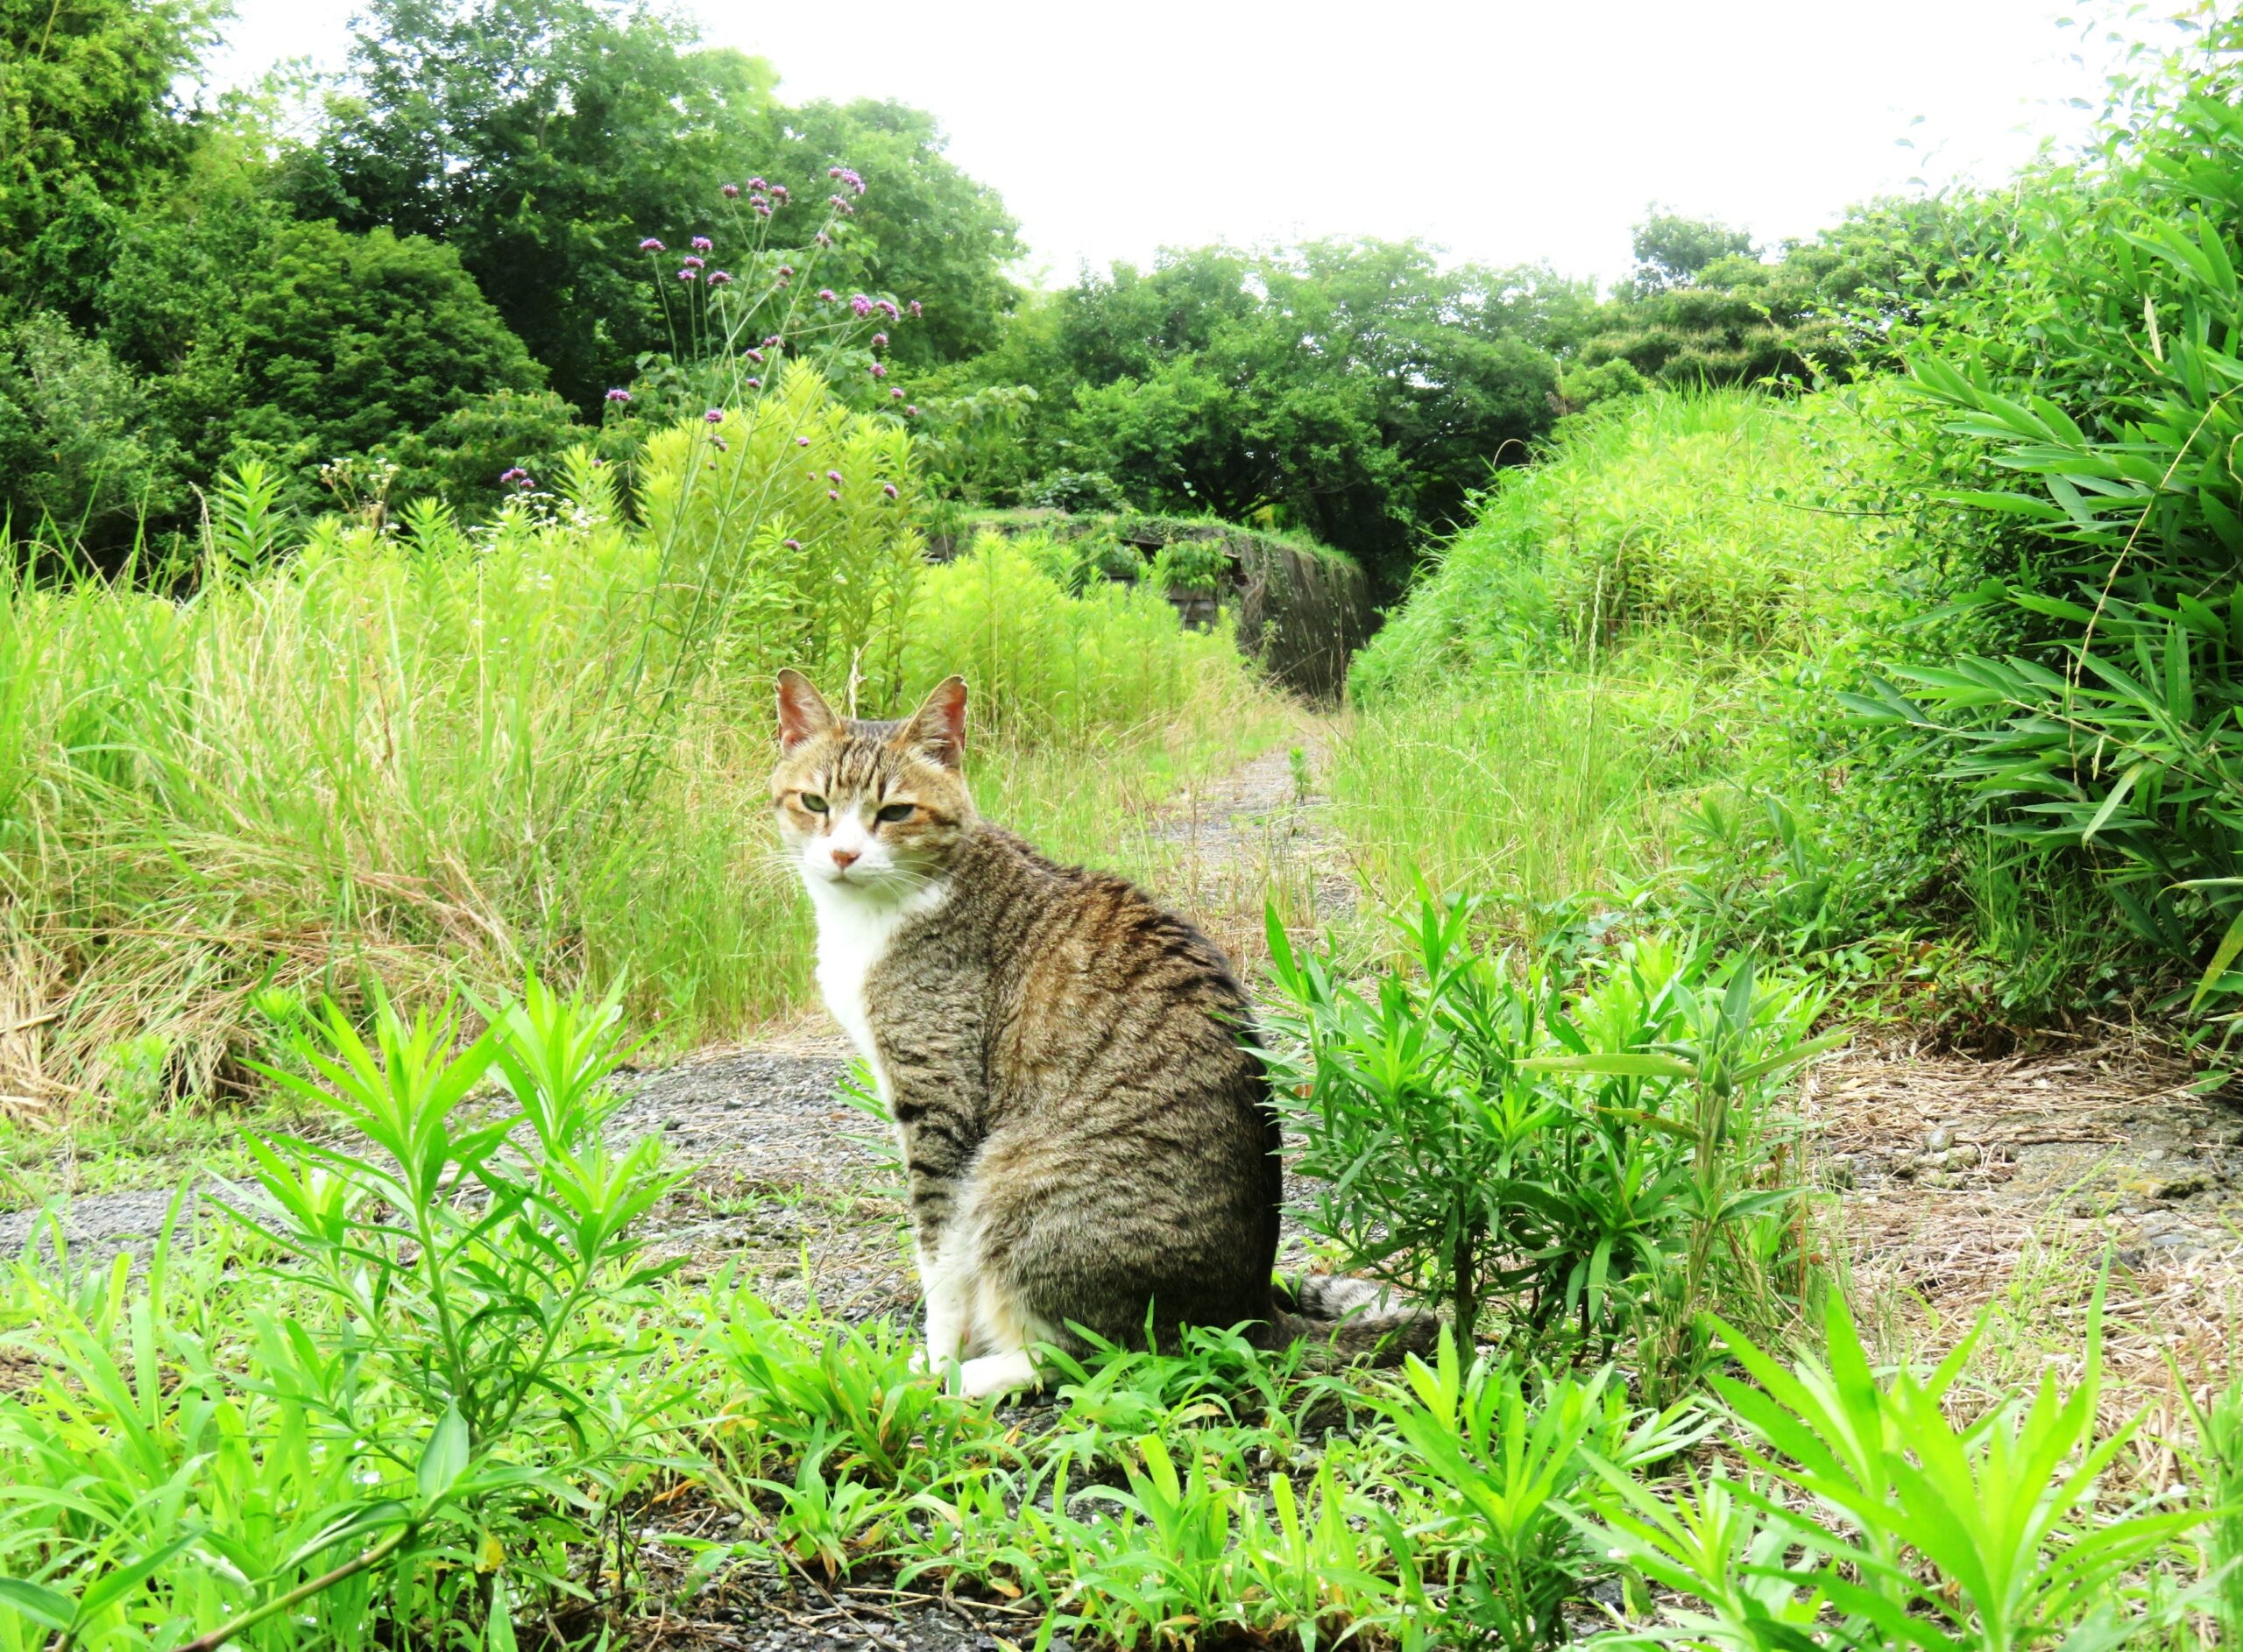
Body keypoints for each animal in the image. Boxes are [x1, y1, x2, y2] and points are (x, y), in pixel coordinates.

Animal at [775, 667, 1435, 1389]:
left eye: (895, 813)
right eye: (814, 802)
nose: (843, 853)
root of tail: (1249, 1309)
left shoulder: (941, 1101)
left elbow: (939, 1261)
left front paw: (936, 1361)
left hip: (1015, 1185)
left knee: (1089, 1352)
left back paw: (979, 1377)